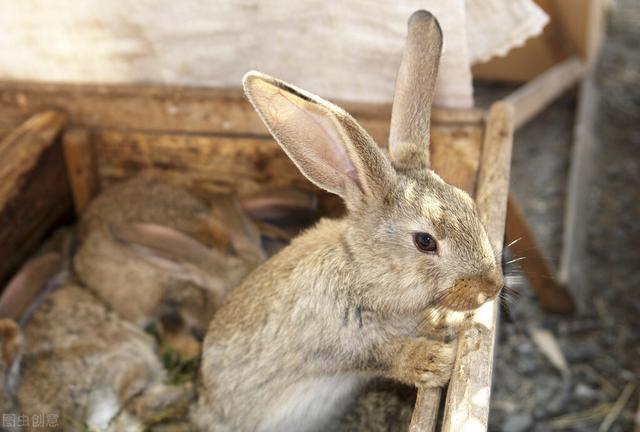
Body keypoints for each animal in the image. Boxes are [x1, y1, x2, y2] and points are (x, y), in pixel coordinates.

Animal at [192, 11, 502, 432]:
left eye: (469, 202)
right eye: (425, 241)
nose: (493, 286)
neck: (363, 273)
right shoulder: (338, 342)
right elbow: (382, 353)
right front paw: (435, 363)